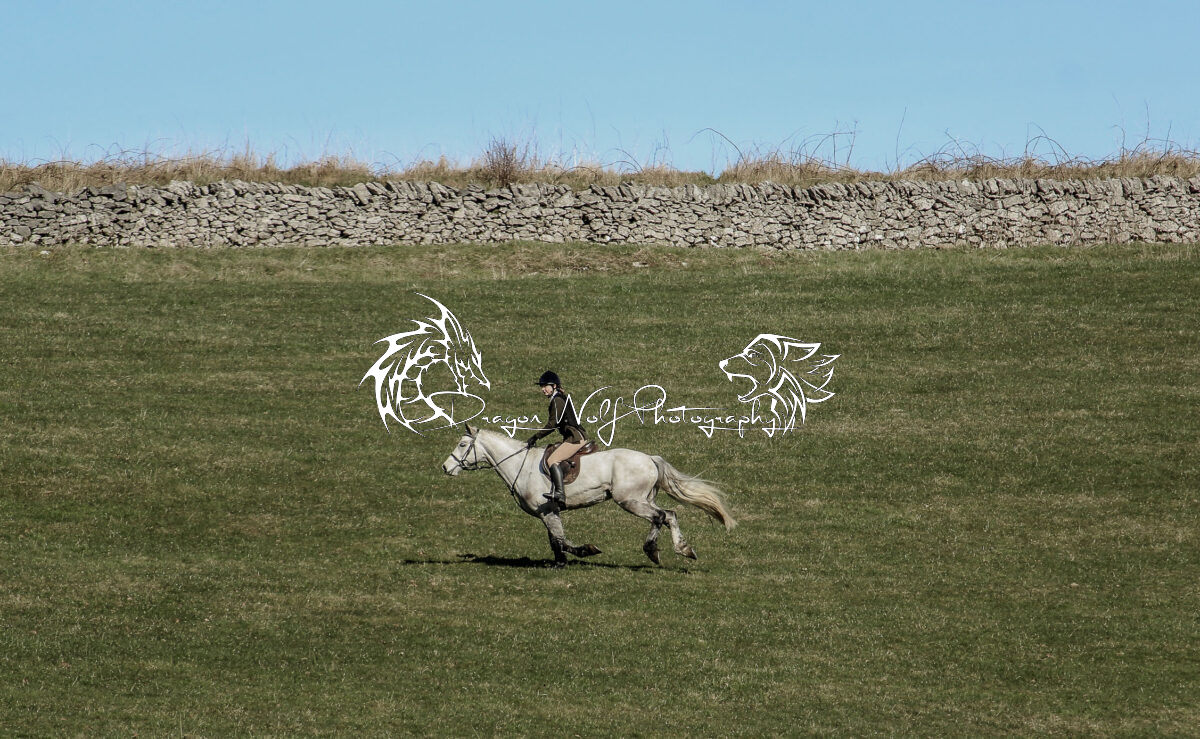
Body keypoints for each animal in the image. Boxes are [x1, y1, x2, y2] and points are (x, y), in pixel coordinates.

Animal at [441, 425, 736, 567]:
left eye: (463, 444)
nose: (445, 468)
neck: (520, 464)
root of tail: (650, 458)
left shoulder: (547, 511)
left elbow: (561, 540)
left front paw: (585, 551)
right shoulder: (549, 512)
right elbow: (555, 540)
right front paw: (559, 563)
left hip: (630, 500)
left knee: (662, 516)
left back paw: (666, 550)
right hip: (644, 498)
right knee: (667, 515)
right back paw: (669, 550)